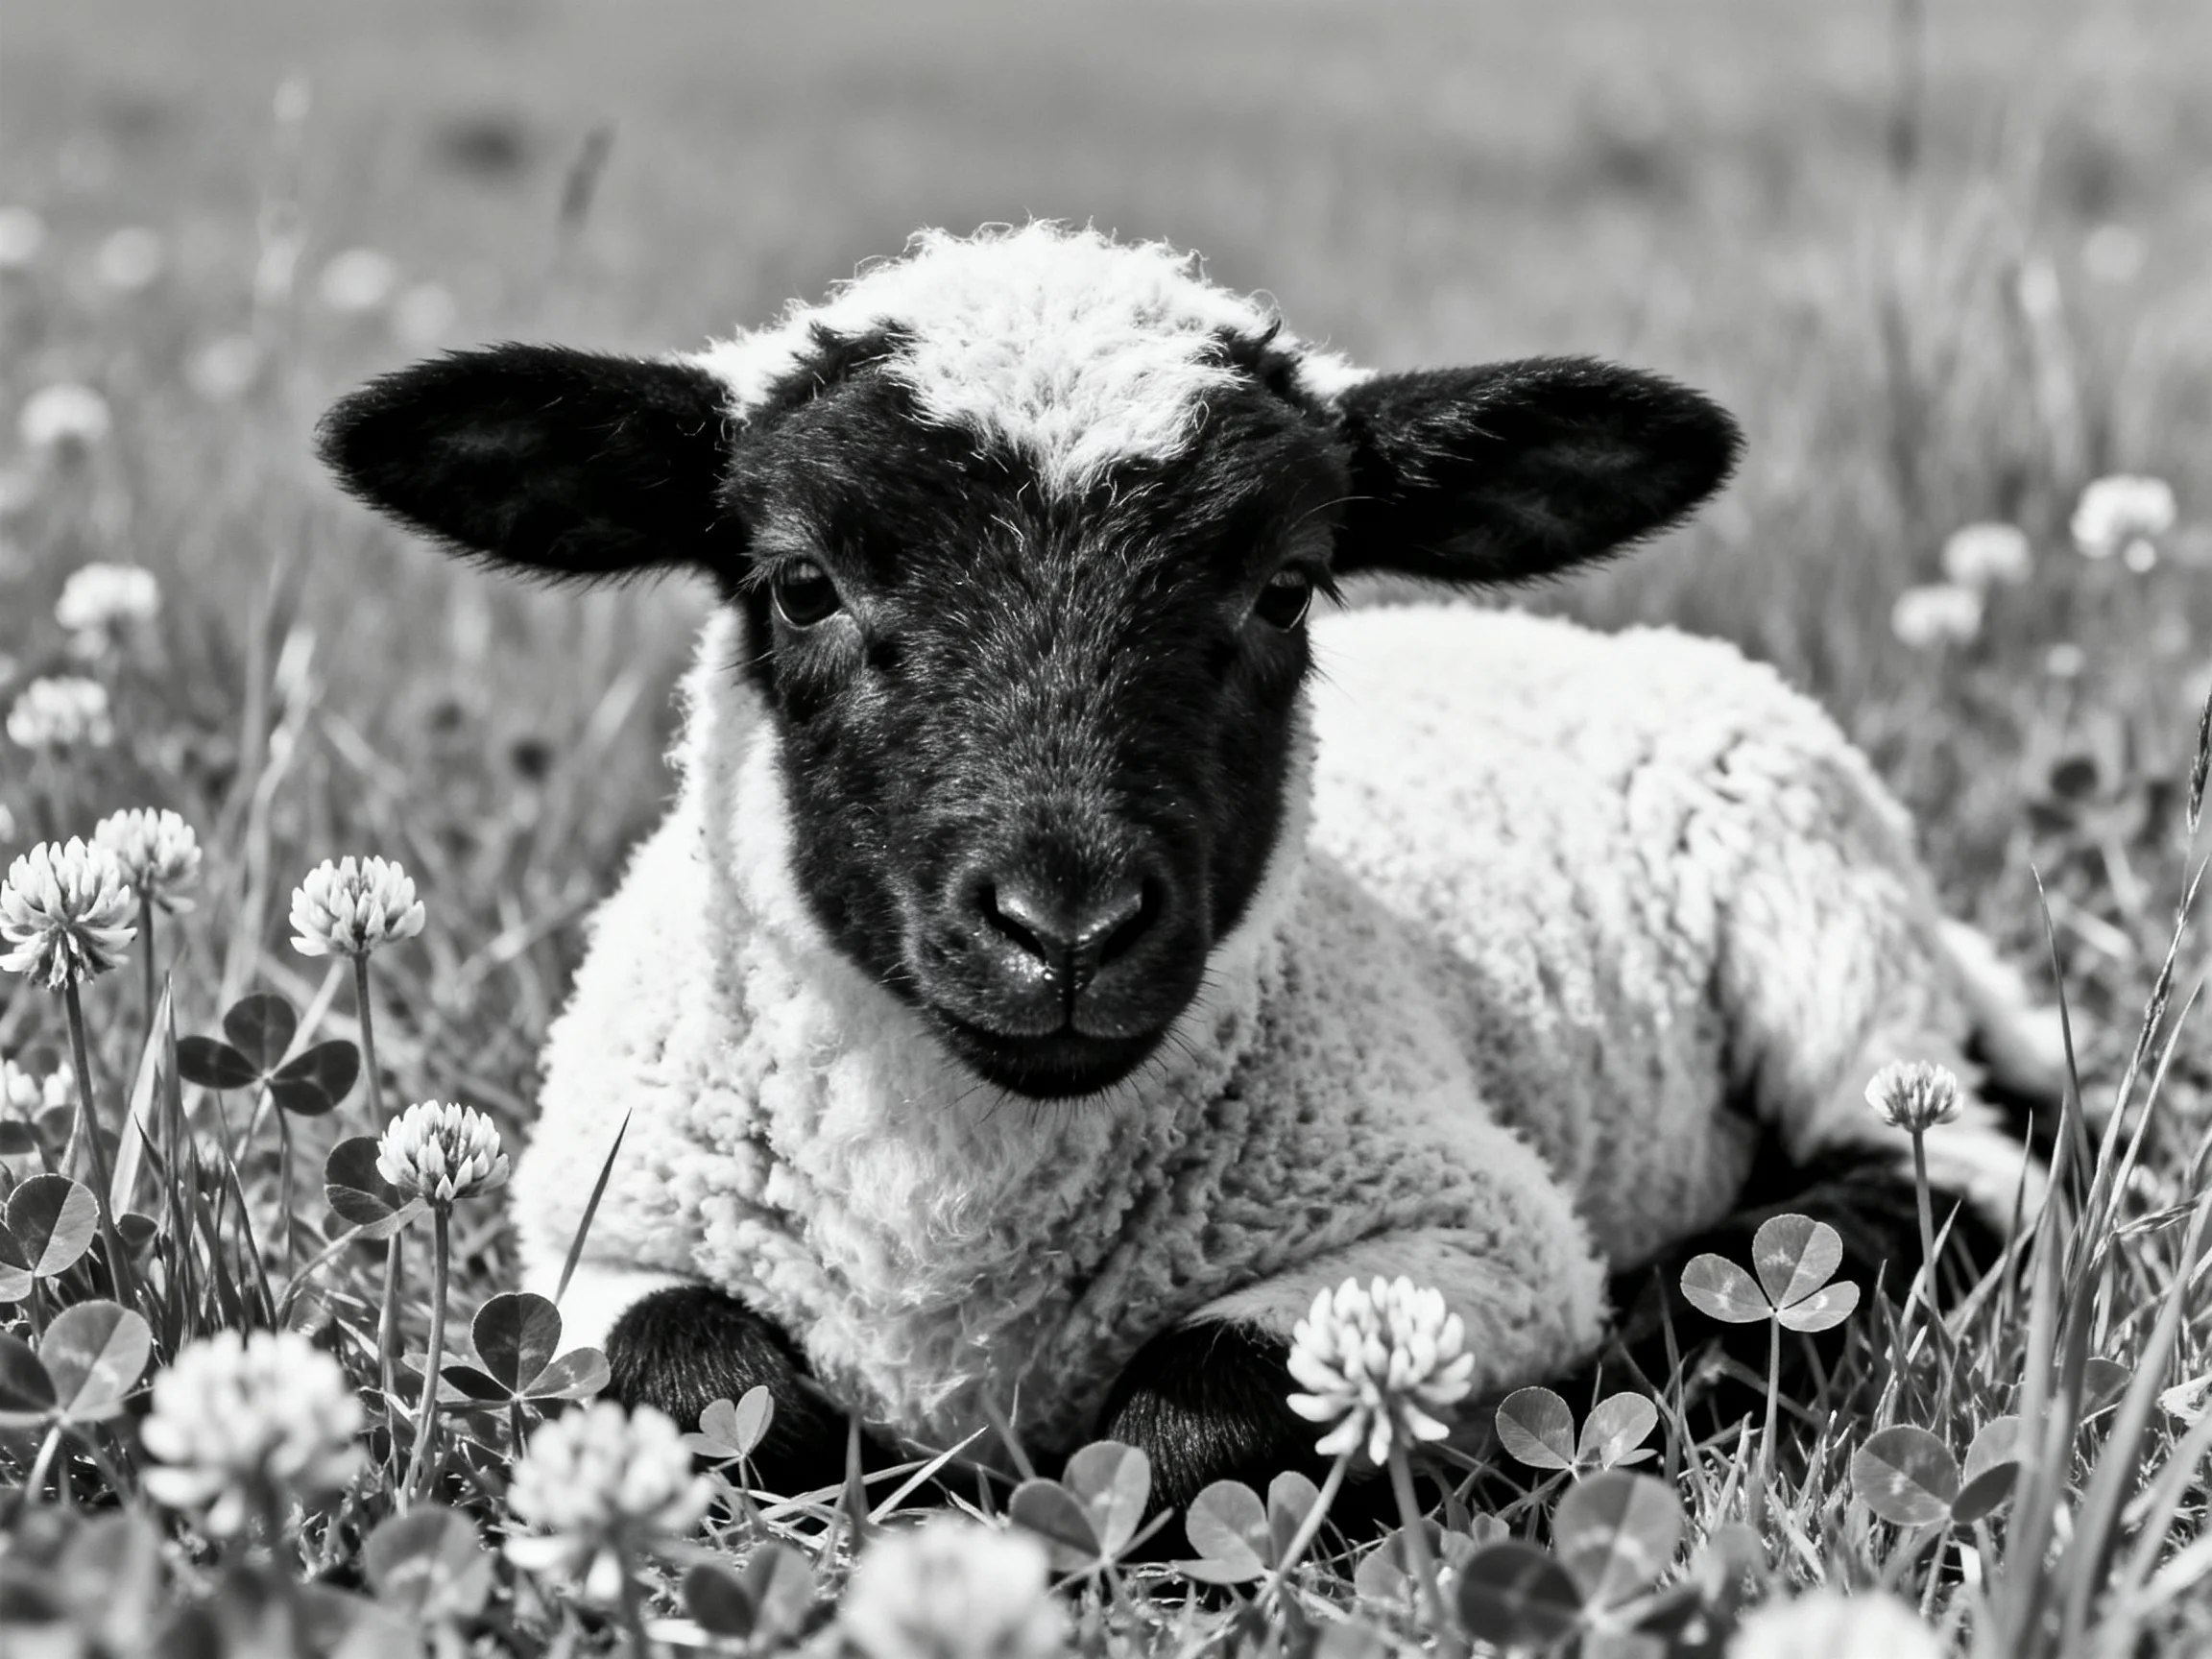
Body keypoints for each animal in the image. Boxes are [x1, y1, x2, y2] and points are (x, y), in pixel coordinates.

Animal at [317, 222, 2060, 1506]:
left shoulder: (1472, 1227)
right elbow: (699, 1380)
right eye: (804, 586)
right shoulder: (597, 1229)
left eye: (1283, 587)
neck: (958, 1231)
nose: (1065, 927)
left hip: (1814, 907)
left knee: (1952, 1171)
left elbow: (1201, 1408)